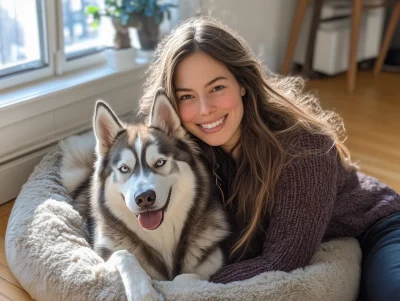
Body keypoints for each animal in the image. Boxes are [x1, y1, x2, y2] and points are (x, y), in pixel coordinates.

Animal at [58, 90, 231, 288]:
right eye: (124, 168)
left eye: (160, 162)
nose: (144, 198)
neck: (160, 236)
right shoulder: (108, 255)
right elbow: (123, 255)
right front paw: (143, 290)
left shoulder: (213, 261)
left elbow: (183, 279)